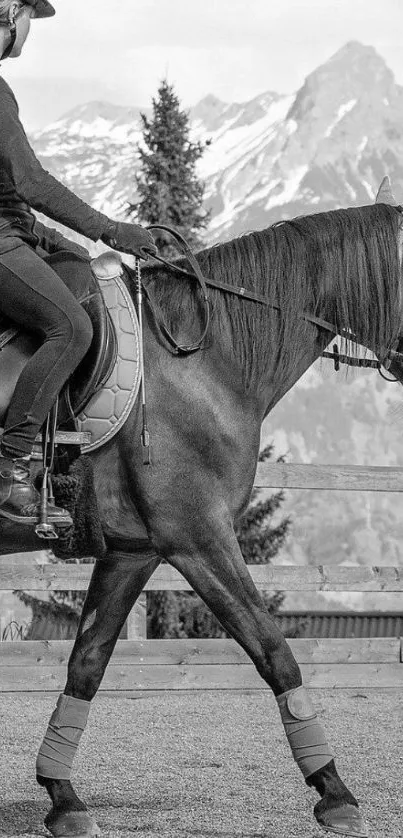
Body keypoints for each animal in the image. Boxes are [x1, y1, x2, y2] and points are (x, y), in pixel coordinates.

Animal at [3, 179, 403, 838]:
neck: (202, 364)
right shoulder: (200, 538)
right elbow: (273, 651)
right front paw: (333, 790)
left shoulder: (135, 552)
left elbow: (87, 662)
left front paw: (61, 795)